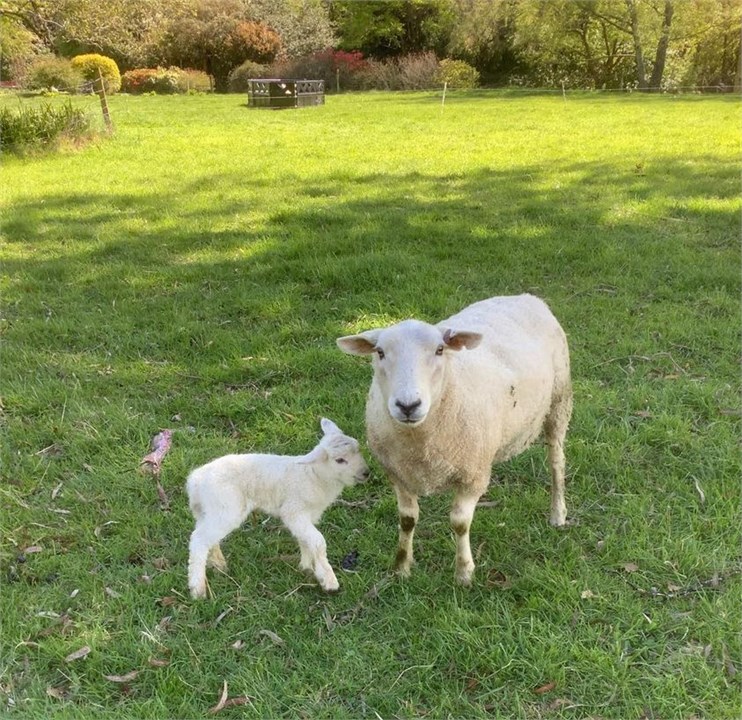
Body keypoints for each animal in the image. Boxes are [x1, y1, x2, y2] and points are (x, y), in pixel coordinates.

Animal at [186, 418, 370, 598]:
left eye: (359, 449)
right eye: (340, 460)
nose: (366, 473)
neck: (314, 476)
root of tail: (195, 480)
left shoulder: (306, 516)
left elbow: (305, 540)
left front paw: (307, 568)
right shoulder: (293, 511)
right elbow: (318, 542)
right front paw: (328, 580)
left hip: (208, 510)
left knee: (207, 537)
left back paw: (219, 565)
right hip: (225, 507)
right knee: (199, 539)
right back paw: (198, 590)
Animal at [336, 294, 571, 586]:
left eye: (440, 350)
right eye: (379, 352)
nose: (408, 405)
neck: (419, 440)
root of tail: (526, 296)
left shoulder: (472, 476)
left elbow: (459, 523)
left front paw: (464, 572)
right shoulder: (398, 474)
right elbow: (406, 520)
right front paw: (401, 567)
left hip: (559, 401)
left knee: (556, 462)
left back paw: (557, 514)